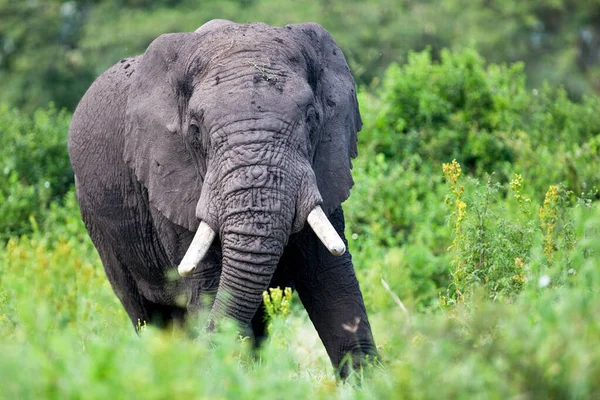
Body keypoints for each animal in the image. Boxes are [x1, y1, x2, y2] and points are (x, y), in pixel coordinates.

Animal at [68, 18, 378, 376]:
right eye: (194, 131)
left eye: (312, 118)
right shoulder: (171, 183)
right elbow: (210, 287)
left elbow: (332, 282)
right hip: (100, 226)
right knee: (147, 315)